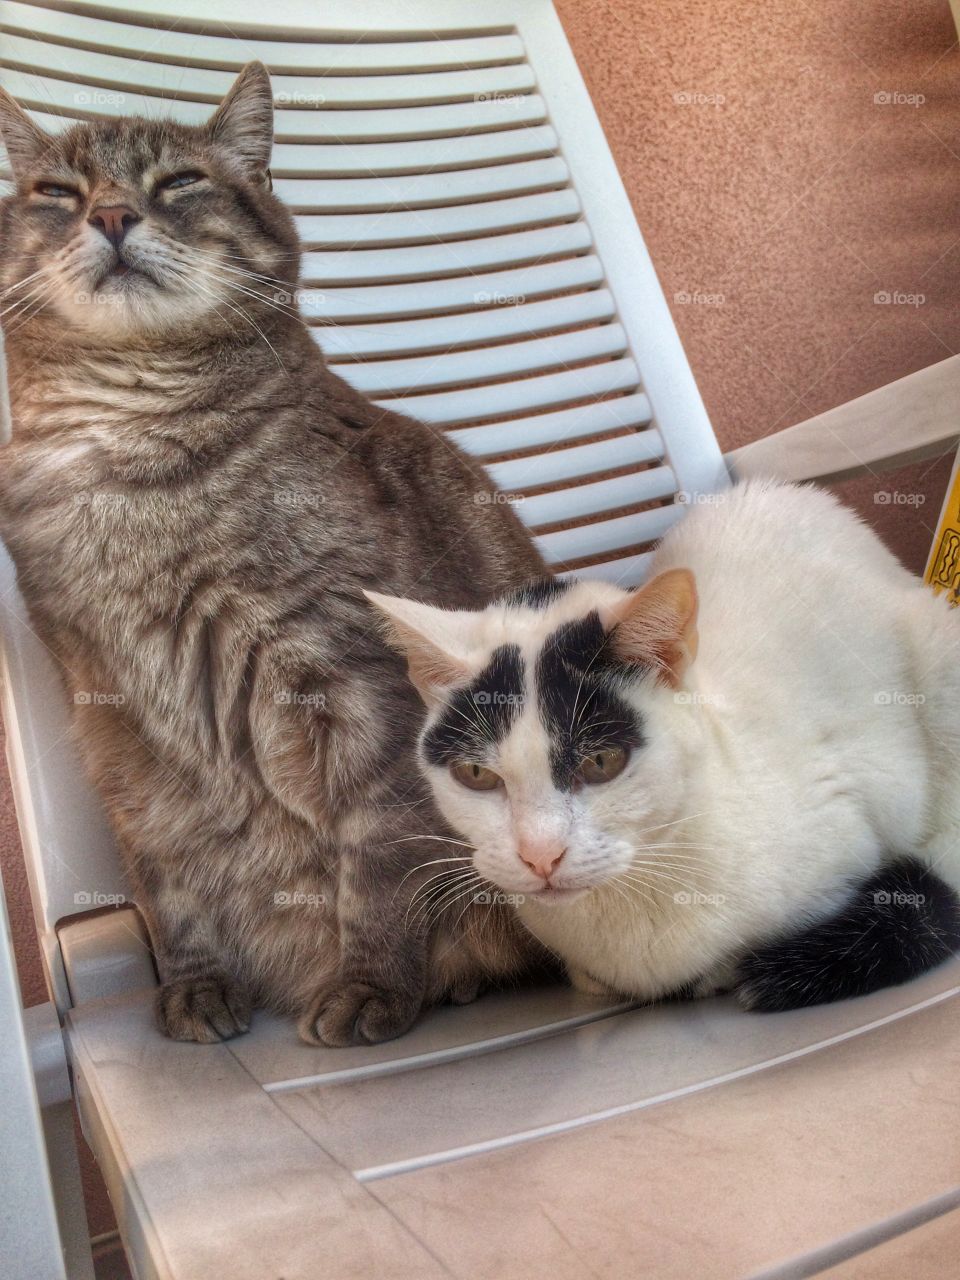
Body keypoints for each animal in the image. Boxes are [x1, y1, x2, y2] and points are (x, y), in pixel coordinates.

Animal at [0, 60, 547, 1044]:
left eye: (180, 181)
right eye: (57, 193)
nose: (111, 215)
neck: (125, 453)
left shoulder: (355, 676)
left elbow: (377, 855)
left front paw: (371, 986)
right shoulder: (118, 731)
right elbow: (167, 880)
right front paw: (196, 987)